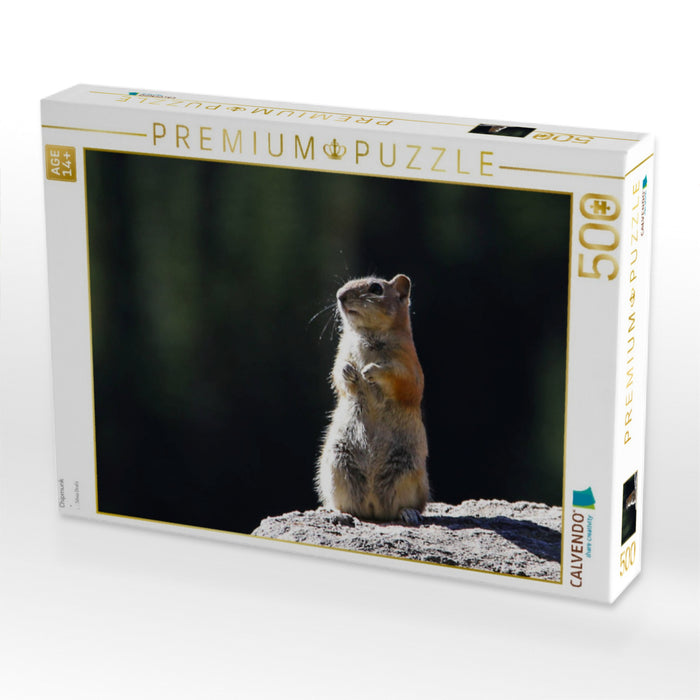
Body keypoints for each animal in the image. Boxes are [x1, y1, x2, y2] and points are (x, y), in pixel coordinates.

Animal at [315, 274, 430, 524]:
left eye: (376, 288)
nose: (340, 295)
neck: (366, 335)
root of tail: (373, 507)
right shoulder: (341, 352)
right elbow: (337, 373)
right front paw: (349, 370)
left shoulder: (409, 366)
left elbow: (401, 380)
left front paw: (371, 370)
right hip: (338, 466)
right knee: (348, 505)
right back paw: (340, 513)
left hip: (407, 472)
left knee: (404, 506)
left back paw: (408, 513)